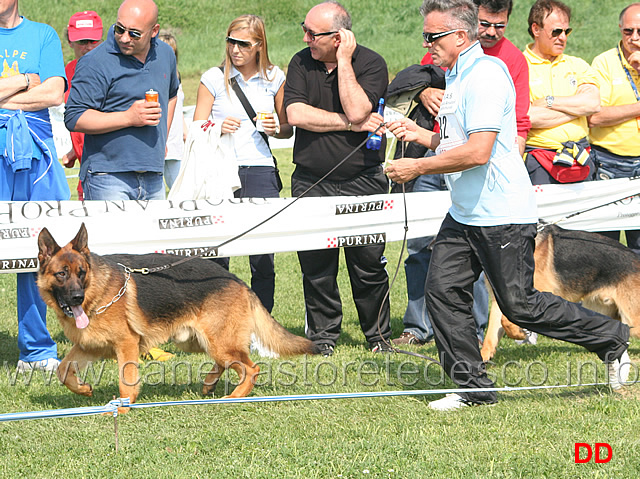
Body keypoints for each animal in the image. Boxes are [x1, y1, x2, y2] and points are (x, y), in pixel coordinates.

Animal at [37, 223, 316, 410]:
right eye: (62, 274)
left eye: (82, 273)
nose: (77, 298)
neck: (97, 293)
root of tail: (237, 281)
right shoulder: (89, 347)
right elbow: (62, 370)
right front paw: (84, 389)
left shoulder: (126, 345)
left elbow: (127, 381)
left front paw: (122, 407)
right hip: (198, 341)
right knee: (229, 363)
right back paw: (210, 383)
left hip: (217, 342)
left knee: (251, 368)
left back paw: (234, 397)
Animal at [480, 223, 640, 362]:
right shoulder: (503, 299)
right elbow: (493, 333)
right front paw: (481, 361)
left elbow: (507, 320)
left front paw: (519, 334)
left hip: (631, 317)